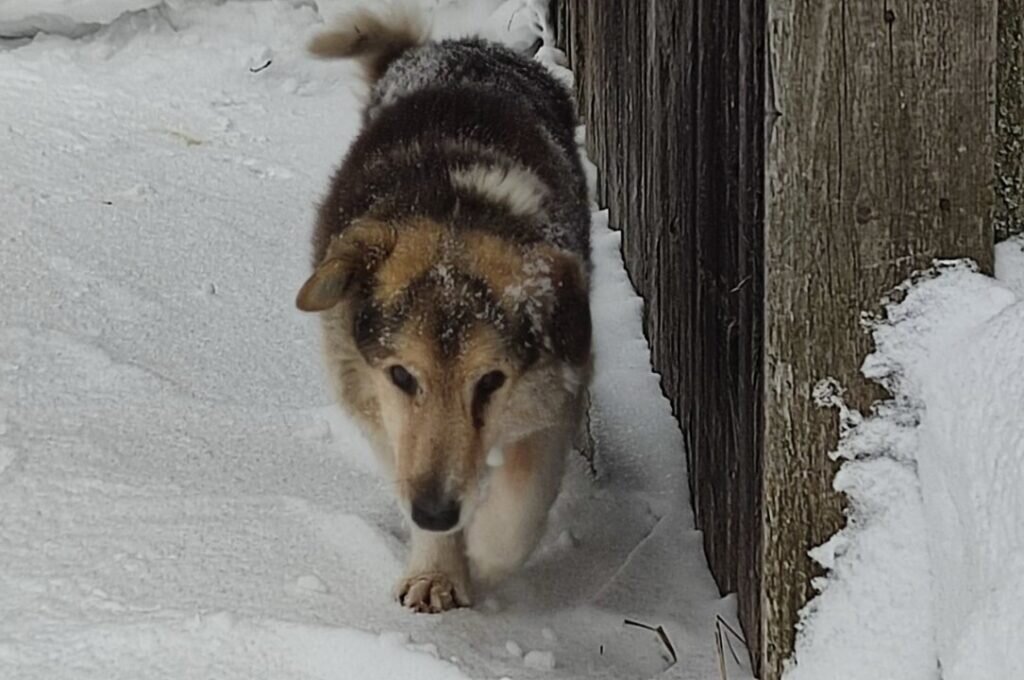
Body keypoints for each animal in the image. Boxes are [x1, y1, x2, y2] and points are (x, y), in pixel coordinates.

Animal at [296, 3, 593, 610]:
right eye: (402, 376)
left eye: (491, 382)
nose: (435, 513)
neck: (456, 211)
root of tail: (455, 49)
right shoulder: (373, 400)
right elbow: (404, 462)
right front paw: (437, 571)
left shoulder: (557, 387)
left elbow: (524, 501)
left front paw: (484, 552)